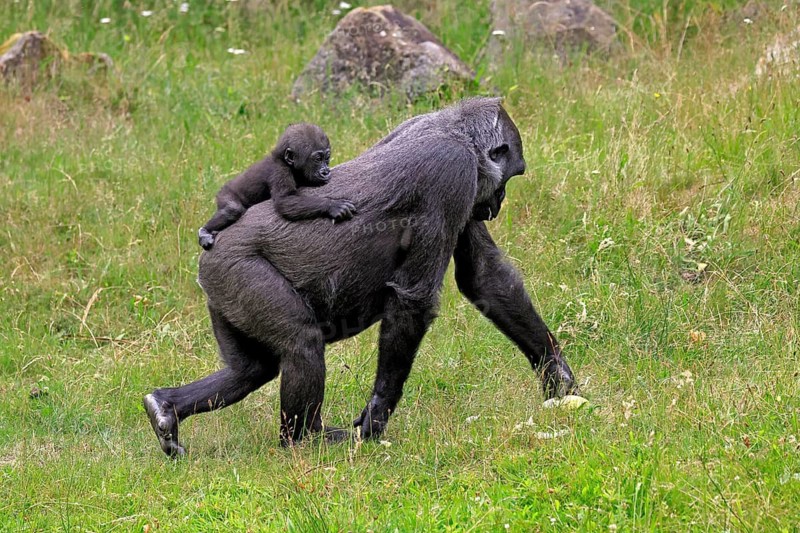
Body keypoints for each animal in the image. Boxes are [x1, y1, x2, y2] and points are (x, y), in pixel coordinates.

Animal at [197, 122, 356, 250]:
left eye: (327, 158)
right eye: (317, 159)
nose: (325, 171)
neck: (285, 161)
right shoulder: (280, 172)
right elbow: (284, 201)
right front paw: (332, 205)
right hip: (225, 193)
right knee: (232, 209)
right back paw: (204, 231)